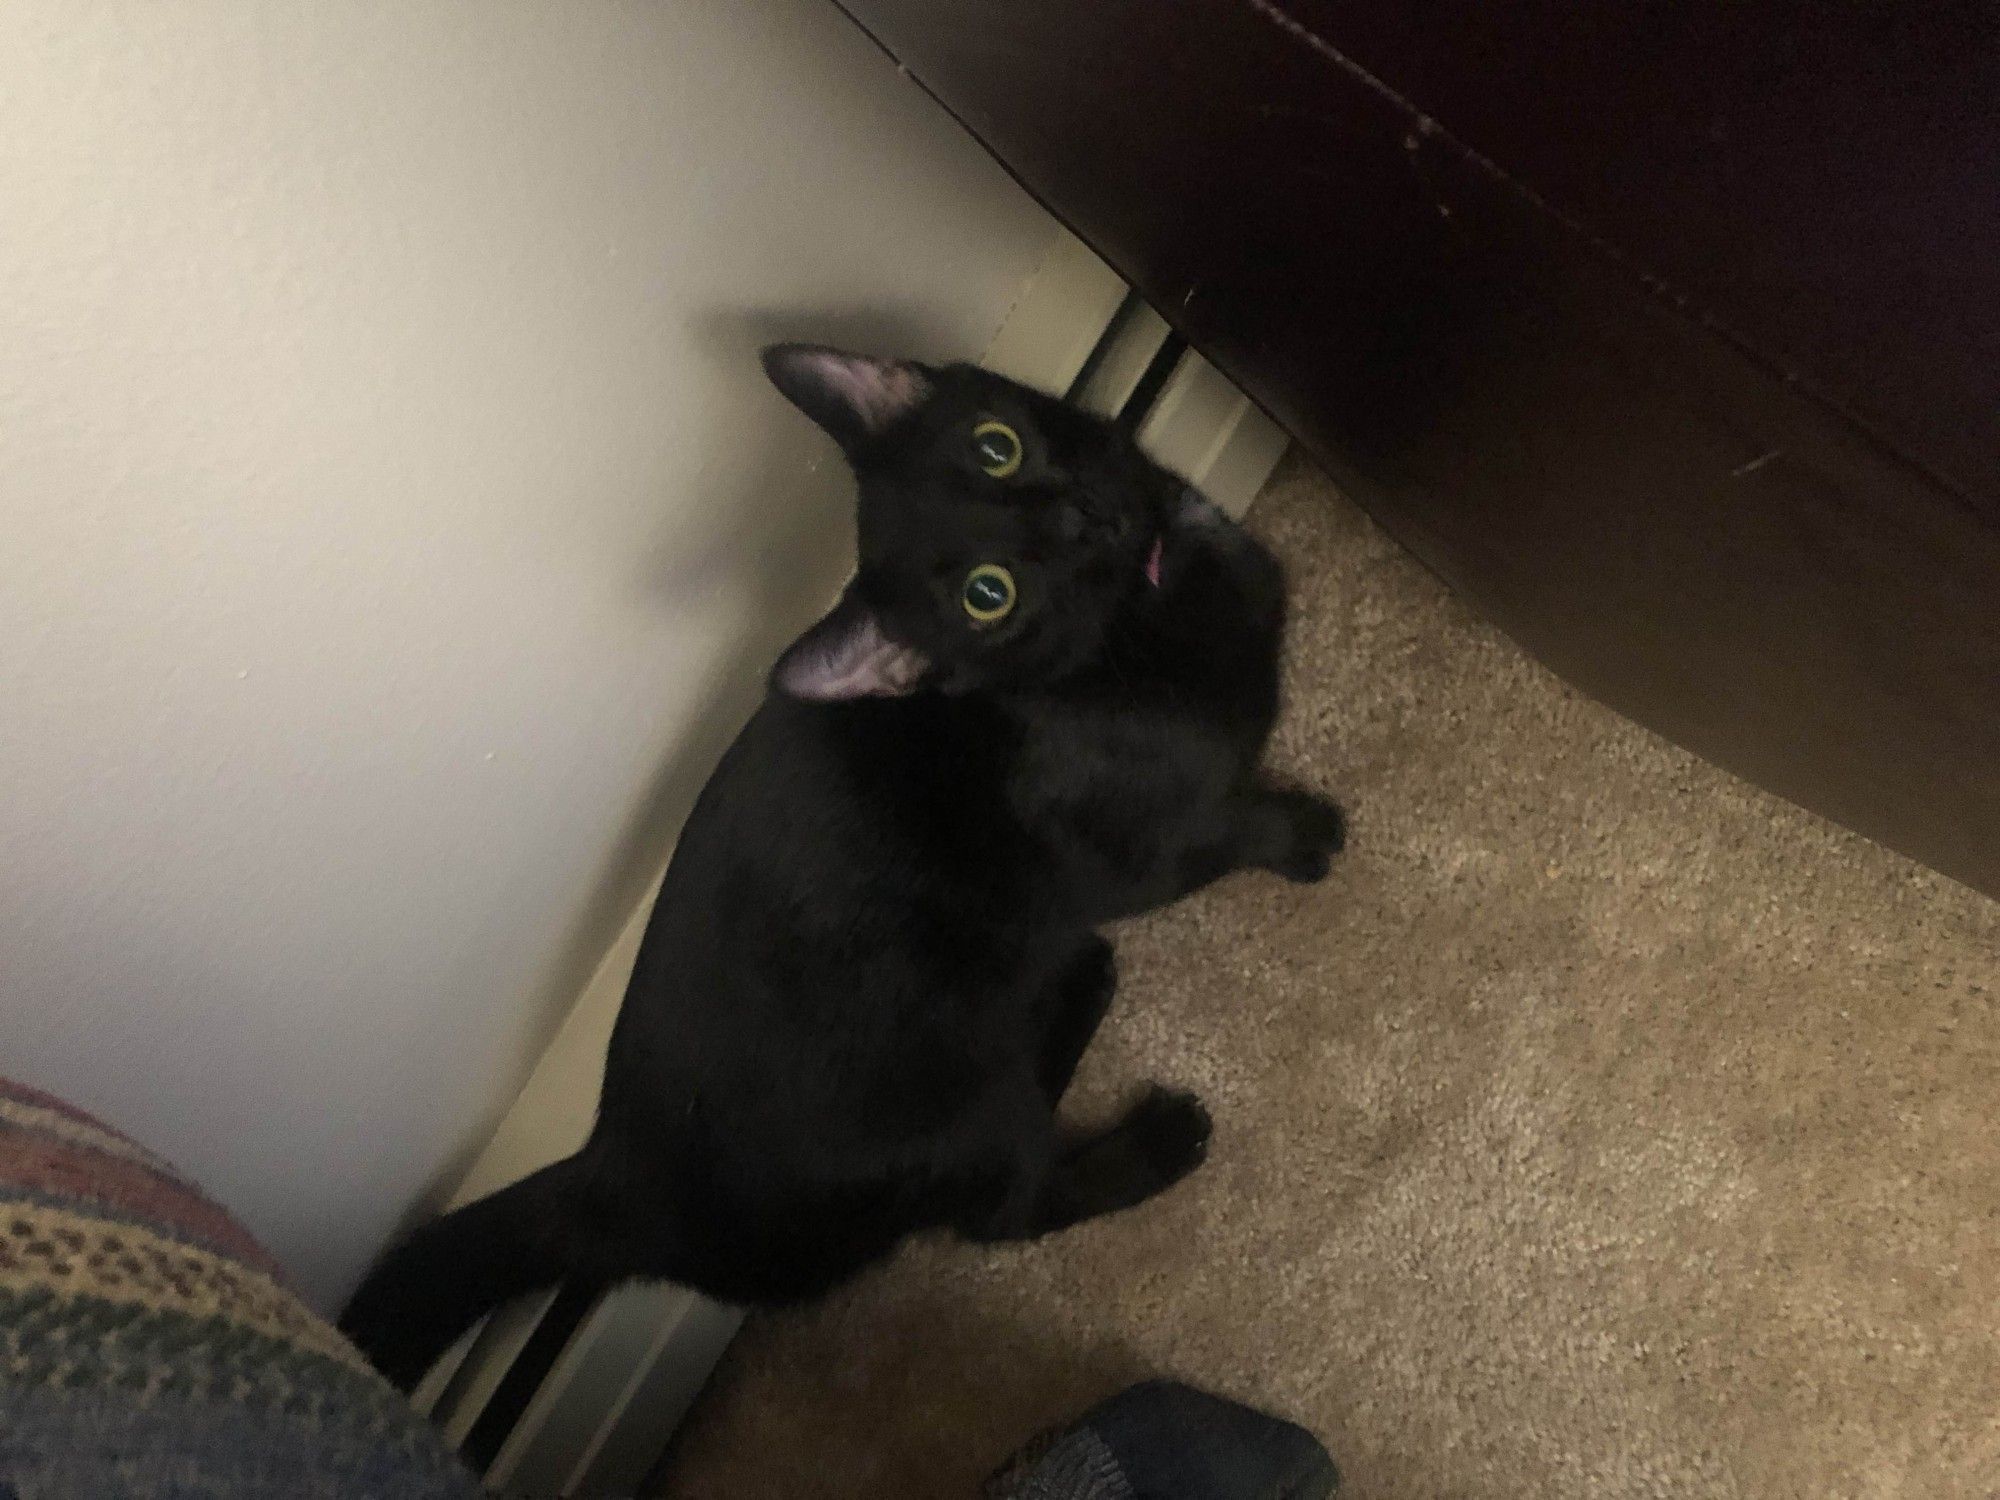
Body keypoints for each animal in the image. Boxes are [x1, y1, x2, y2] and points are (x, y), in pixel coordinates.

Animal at [340, 346, 1344, 1392]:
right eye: (988, 594)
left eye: (997, 445)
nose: (1079, 516)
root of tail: (615, 1175)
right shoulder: (1141, 855)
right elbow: (1227, 832)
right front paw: (1302, 832)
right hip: (962, 1104)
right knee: (1007, 1212)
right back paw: (1151, 1132)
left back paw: (1076, 989)